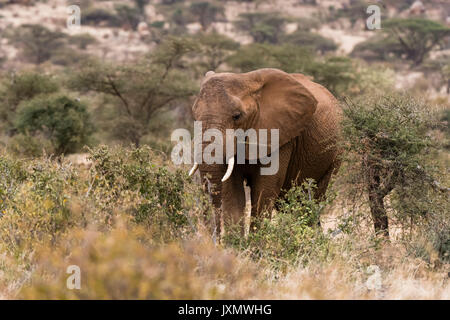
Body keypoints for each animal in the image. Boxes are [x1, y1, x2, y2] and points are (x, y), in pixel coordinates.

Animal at [188, 68, 340, 238]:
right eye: (194, 115)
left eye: (237, 116)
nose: (215, 239)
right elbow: (232, 193)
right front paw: (236, 244)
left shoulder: (280, 136)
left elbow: (264, 190)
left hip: (335, 155)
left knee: (312, 199)